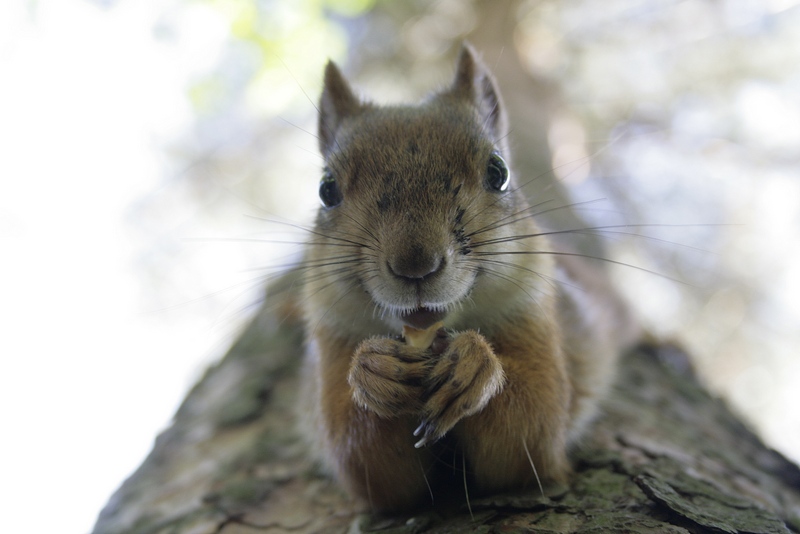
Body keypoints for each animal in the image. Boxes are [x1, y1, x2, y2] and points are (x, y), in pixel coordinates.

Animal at [296, 44, 636, 512]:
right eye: (326, 190)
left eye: (499, 172)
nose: (415, 266)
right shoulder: (331, 342)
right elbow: (368, 464)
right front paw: (373, 369)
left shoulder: (535, 317)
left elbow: (531, 427)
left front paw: (475, 365)